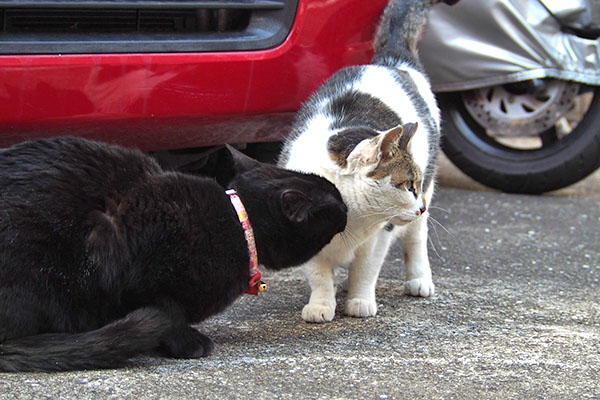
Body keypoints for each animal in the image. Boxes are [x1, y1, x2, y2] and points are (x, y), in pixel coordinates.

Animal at [0, 138, 346, 372]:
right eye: (335, 201)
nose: (346, 207)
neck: (236, 221)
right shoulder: (126, 257)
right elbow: (168, 313)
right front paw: (187, 343)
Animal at [278, 0, 458, 322]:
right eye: (406, 186)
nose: (420, 205)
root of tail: (391, 61)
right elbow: (319, 275)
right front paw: (321, 304)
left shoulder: (379, 237)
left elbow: (366, 269)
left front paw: (360, 301)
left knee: (416, 239)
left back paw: (419, 280)